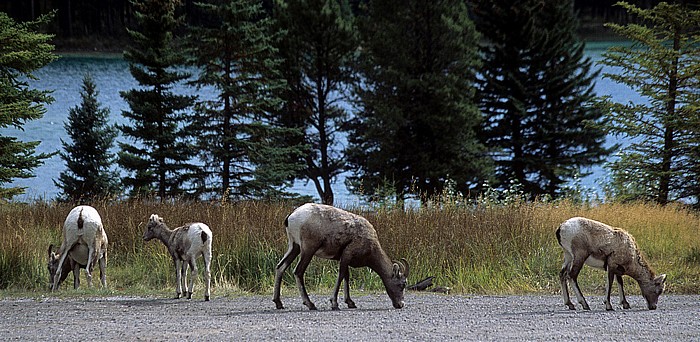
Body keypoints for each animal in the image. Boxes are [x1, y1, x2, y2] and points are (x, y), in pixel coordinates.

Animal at [270, 203, 408, 310]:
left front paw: (350, 303)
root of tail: (291, 217)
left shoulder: (344, 258)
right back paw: (310, 304)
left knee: (280, 267)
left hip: (294, 247)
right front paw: (334, 304)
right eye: (402, 284)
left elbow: (346, 276)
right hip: (307, 250)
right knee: (298, 271)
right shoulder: (346, 255)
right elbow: (341, 276)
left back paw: (279, 303)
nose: (401, 305)